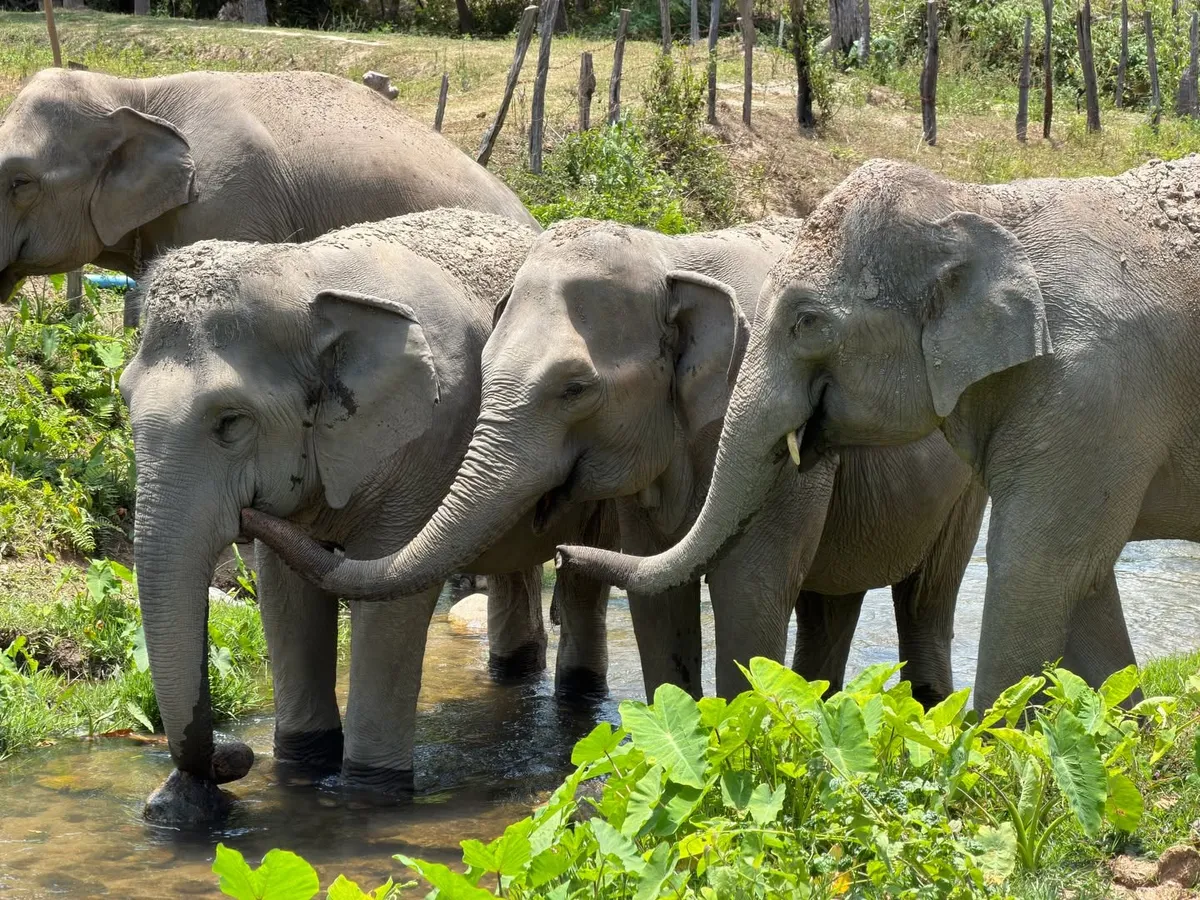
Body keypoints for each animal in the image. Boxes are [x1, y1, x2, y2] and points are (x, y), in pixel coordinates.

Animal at [119, 208, 601, 828]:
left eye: (230, 422)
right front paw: (301, 767)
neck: (305, 273)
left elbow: (389, 598)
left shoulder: (430, 442)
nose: (232, 755)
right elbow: (286, 595)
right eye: (125, 401)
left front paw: (369, 793)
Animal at [240, 217, 987, 704]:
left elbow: (749, 591)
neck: (673, 256)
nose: (248, 516)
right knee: (832, 602)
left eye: (574, 389)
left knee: (926, 599)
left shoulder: (782, 428)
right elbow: (655, 591)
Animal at [555, 155, 1200, 712]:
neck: (982, 203)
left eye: (807, 323)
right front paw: (1128, 729)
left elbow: (1041, 566)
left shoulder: (1095, 390)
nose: (562, 552)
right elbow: (1086, 579)